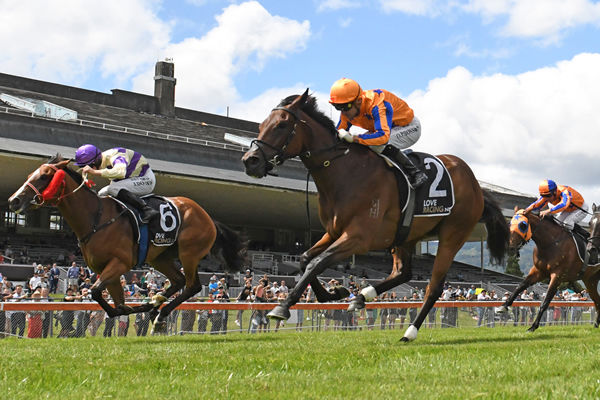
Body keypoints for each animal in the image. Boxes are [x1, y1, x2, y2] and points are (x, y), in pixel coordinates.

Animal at [7, 153, 246, 332]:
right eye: (31, 174)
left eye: (44, 176)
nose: (14, 200)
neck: (96, 218)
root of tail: (208, 217)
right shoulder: (104, 268)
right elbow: (112, 300)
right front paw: (130, 308)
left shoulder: (120, 263)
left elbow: (96, 292)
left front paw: (130, 310)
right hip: (160, 257)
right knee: (178, 281)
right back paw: (154, 304)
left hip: (189, 253)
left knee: (192, 285)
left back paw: (160, 313)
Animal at [241, 90, 508, 340]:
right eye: (261, 125)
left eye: (281, 125)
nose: (249, 161)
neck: (345, 172)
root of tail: (476, 185)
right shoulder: (333, 232)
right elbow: (306, 259)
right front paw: (335, 292)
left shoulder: (359, 237)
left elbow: (319, 262)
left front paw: (283, 306)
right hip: (406, 236)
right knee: (404, 273)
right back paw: (362, 296)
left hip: (453, 234)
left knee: (434, 287)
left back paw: (409, 331)